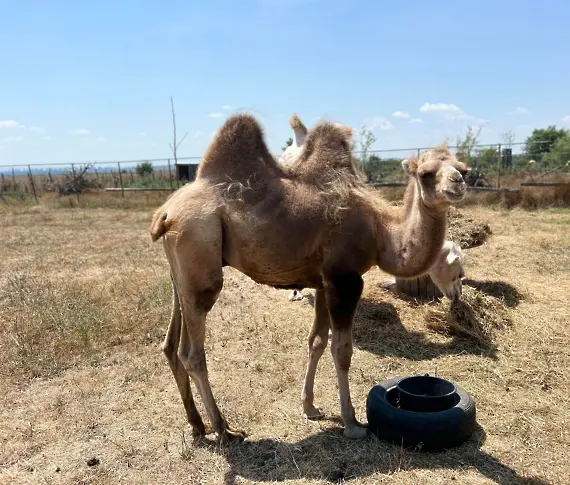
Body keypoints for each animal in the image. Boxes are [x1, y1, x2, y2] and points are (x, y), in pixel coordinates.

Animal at [148, 114, 466, 442]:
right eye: (426, 174)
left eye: (463, 167)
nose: (459, 182)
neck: (381, 234)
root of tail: (166, 212)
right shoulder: (346, 280)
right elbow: (342, 350)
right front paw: (352, 423)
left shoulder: (324, 282)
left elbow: (317, 341)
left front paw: (310, 407)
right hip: (200, 249)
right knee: (193, 352)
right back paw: (225, 430)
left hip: (181, 271)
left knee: (172, 345)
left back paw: (197, 424)